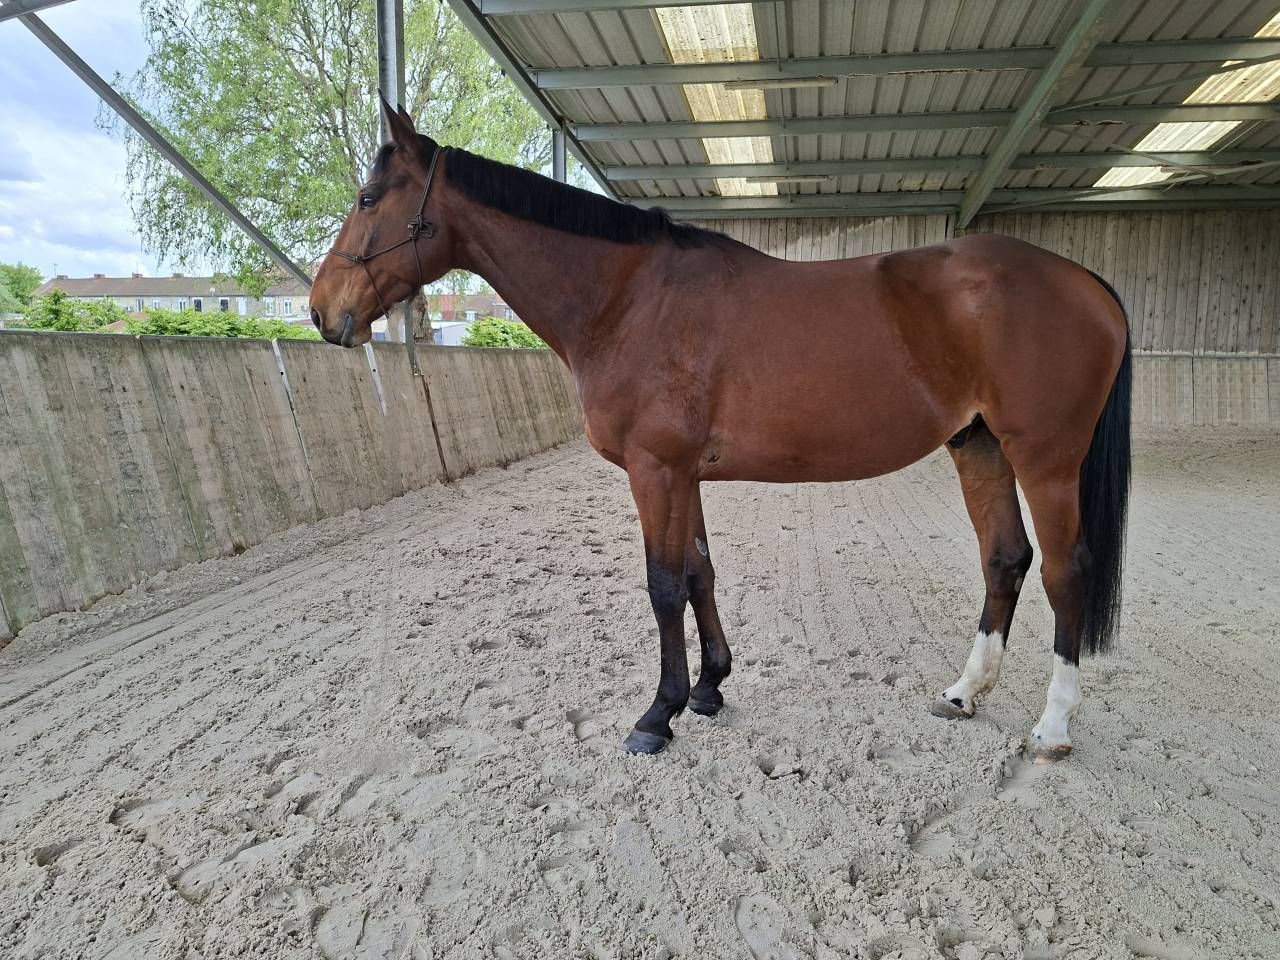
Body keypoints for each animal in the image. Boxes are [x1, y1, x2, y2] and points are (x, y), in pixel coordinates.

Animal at [309, 102, 1131, 763]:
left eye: (367, 197)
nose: (322, 311)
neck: (628, 299)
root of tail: (1086, 281)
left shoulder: (655, 471)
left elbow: (664, 585)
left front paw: (658, 714)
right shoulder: (684, 474)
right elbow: (700, 572)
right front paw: (708, 689)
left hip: (1045, 459)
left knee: (1066, 572)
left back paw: (1054, 727)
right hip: (980, 446)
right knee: (1005, 559)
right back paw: (964, 691)